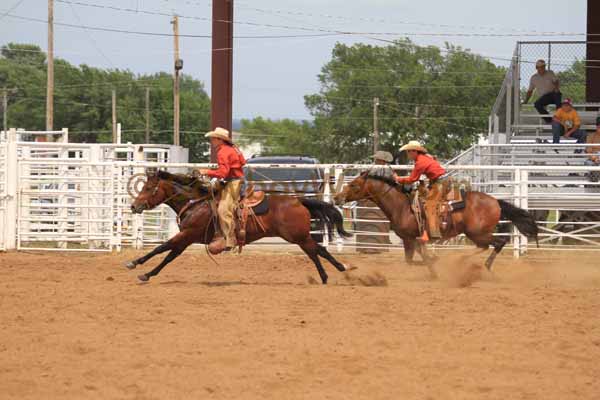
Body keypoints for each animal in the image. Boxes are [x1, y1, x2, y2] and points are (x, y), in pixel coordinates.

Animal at [125, 170, 352, 282]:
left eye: (148, 188)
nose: (134, 206)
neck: (195, 203)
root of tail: (299, 201)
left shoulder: (187, 235)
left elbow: (161, 248)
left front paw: (134, 263)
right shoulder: (186, 239)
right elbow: (169, 256)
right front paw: (147, 273)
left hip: (299, 237)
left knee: (314, 252)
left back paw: (326, 276)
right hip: (301, 236)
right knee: (320, 250)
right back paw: (340, 269)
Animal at [332, 170, 540, 270]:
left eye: (354, 185)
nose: (336, 198)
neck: (401, 205)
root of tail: (496, 202)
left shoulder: (410, 238)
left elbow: (415, 260)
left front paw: (433, 264)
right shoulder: (411, 239)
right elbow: (415, 258)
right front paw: (433, 262)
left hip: (478, 233)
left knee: (499, 242)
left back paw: (481, 265)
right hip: (475, 234)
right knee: (487, 246)